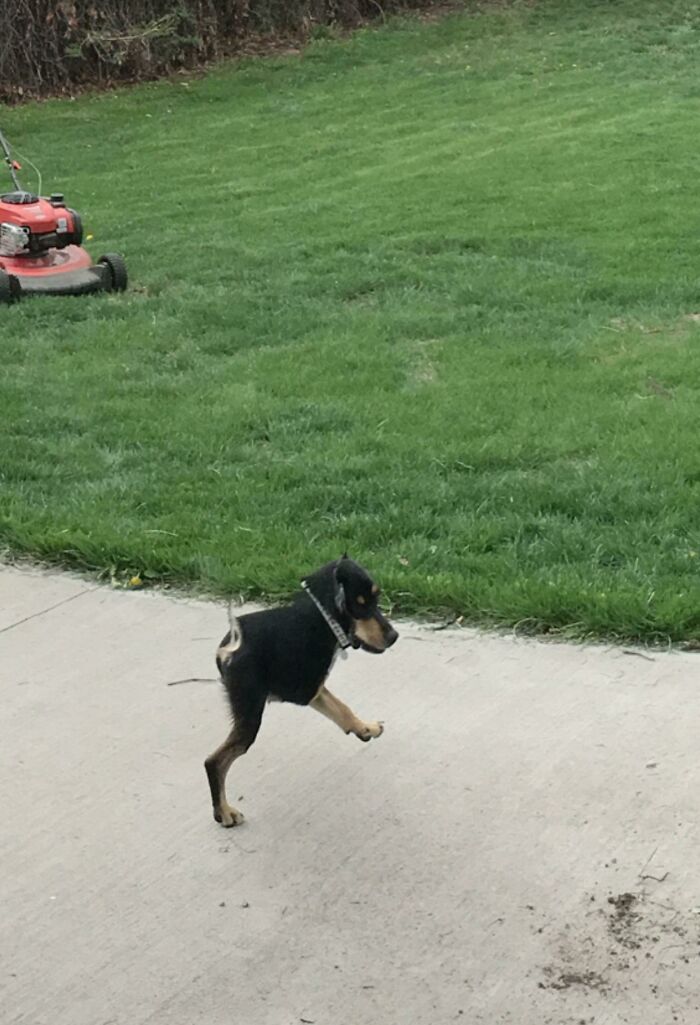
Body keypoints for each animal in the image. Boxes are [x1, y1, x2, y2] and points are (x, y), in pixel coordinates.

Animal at [204, 557, 397, 828]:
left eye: (376, 598)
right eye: (358, 606)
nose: (394, 636)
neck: (323, 617)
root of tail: (231, 645)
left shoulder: (312, 687)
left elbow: (341, 708)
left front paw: (365, 728)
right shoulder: (305, 689)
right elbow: (338, 705)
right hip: (249, 713)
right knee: (214, 761)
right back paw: (224, 812)